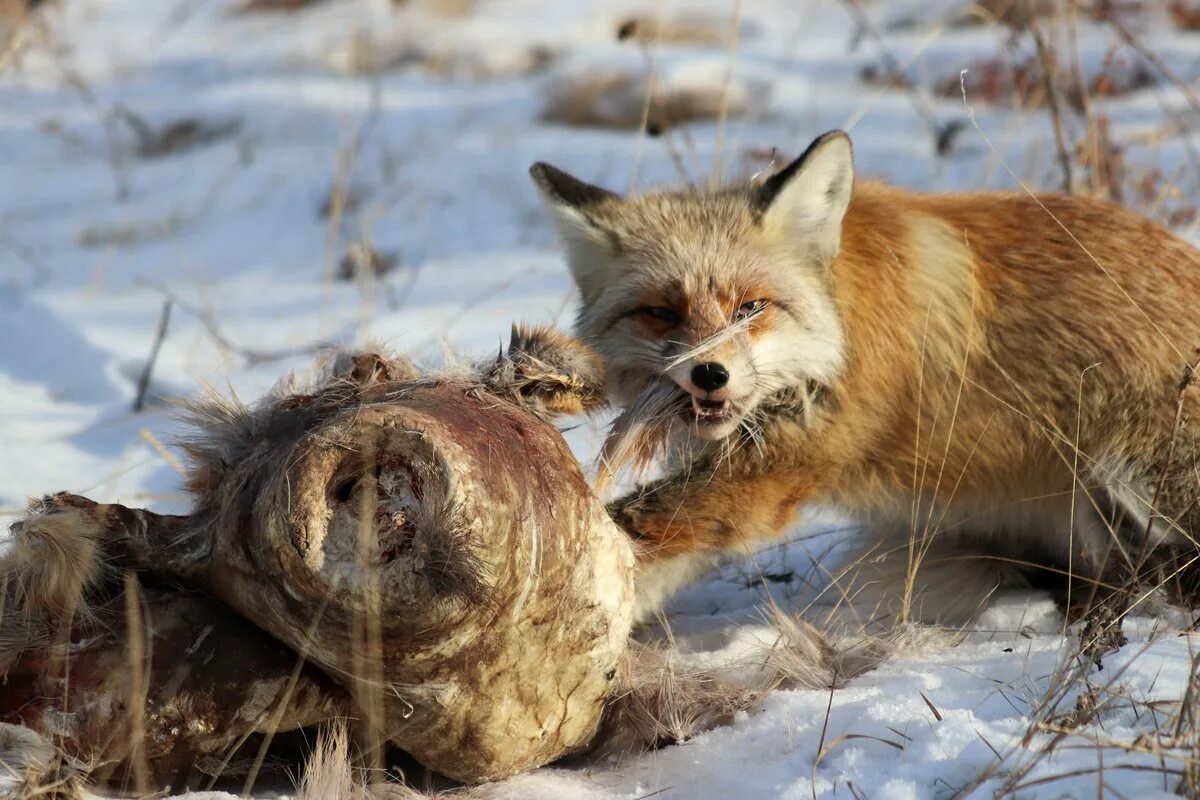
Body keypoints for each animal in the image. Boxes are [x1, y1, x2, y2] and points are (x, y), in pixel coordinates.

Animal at [532, 131, 1200, 628]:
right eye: (661, 313)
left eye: (752, 307)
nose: (710, 374)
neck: (839, 329)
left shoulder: (780, 468)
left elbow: (628, 527)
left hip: (1137, 475)